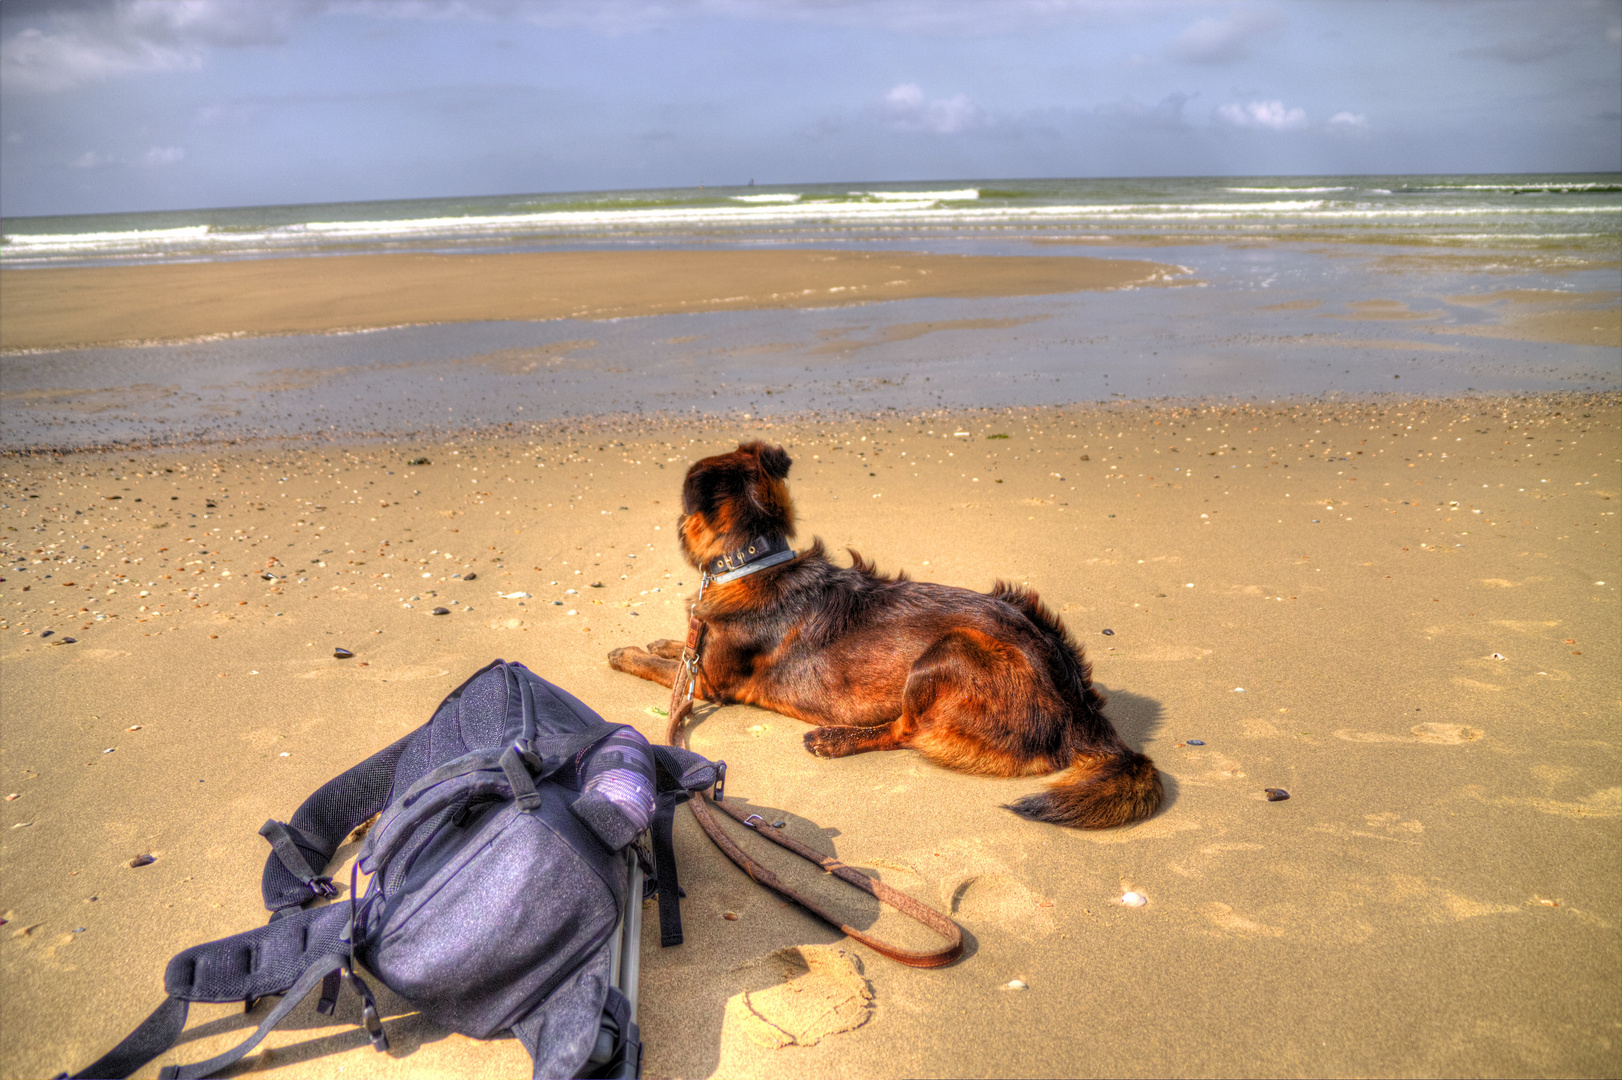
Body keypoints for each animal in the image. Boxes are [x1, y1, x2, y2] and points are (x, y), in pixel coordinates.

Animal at [603, 437, 1161, 823]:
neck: (753, 561)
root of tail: (1077, 704)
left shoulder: (709, 685)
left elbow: (663, 669)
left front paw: (627, 653)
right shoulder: (701, 656)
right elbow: (676, 649)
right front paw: (660, 640)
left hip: (944, 654)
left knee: (906, 732)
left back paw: (835, 740)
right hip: (1015, 601)